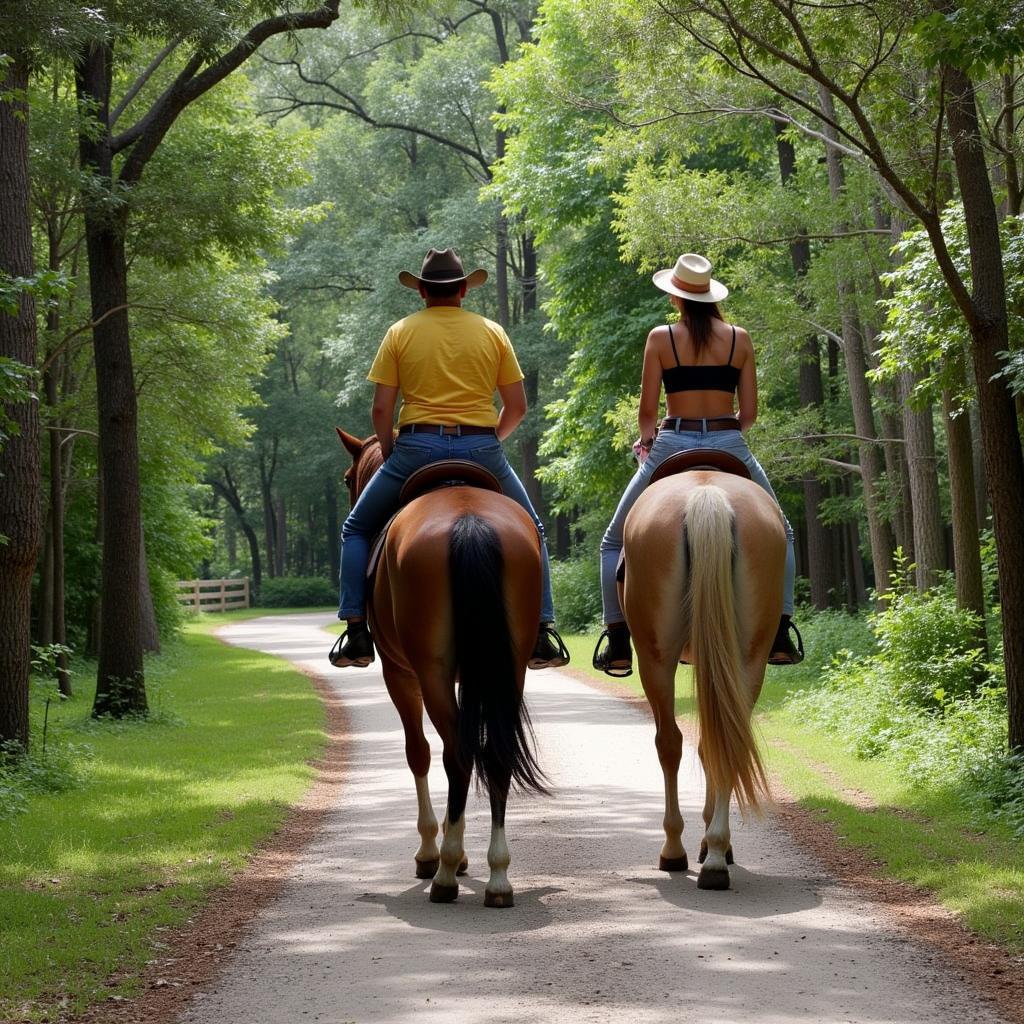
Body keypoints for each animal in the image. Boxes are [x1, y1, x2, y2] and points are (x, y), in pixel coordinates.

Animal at [335, 428, 548, 909]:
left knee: (457, 754)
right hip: (509, 668)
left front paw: (431, 852)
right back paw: (498, 877)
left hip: (429, 673)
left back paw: (446, 872)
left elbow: (418, 753)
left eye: (347, 479)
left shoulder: (399, 674)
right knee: (495, 751)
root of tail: (468, 520)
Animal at [618, 452, 786, 892]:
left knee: (669, 742)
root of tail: (707, 497)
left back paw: (677, 850)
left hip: (655, 658)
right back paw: (715, 855)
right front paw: (713, 843)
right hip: (749, 657)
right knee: (724, 739)